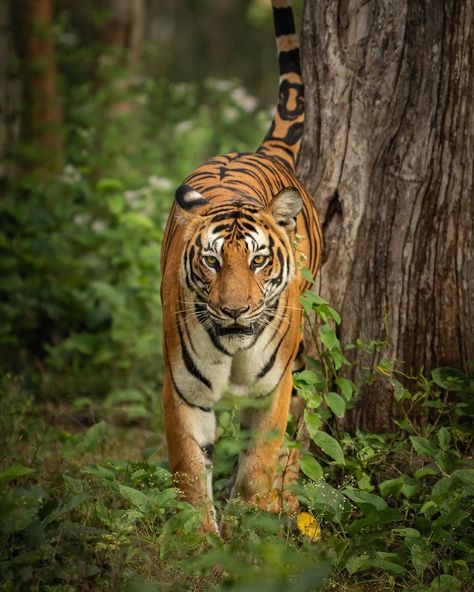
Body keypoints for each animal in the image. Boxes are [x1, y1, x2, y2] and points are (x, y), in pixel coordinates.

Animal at [160, 0, 322, 536]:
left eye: (258, 260)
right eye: (212, 262)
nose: (233, 311)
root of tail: (258, 150)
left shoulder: (273, 389)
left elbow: (259, 461)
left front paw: (252, 526)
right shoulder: (185, 391)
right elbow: (190, 467)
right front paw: (199, 540)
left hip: (305, 353)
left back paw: (287, 503)